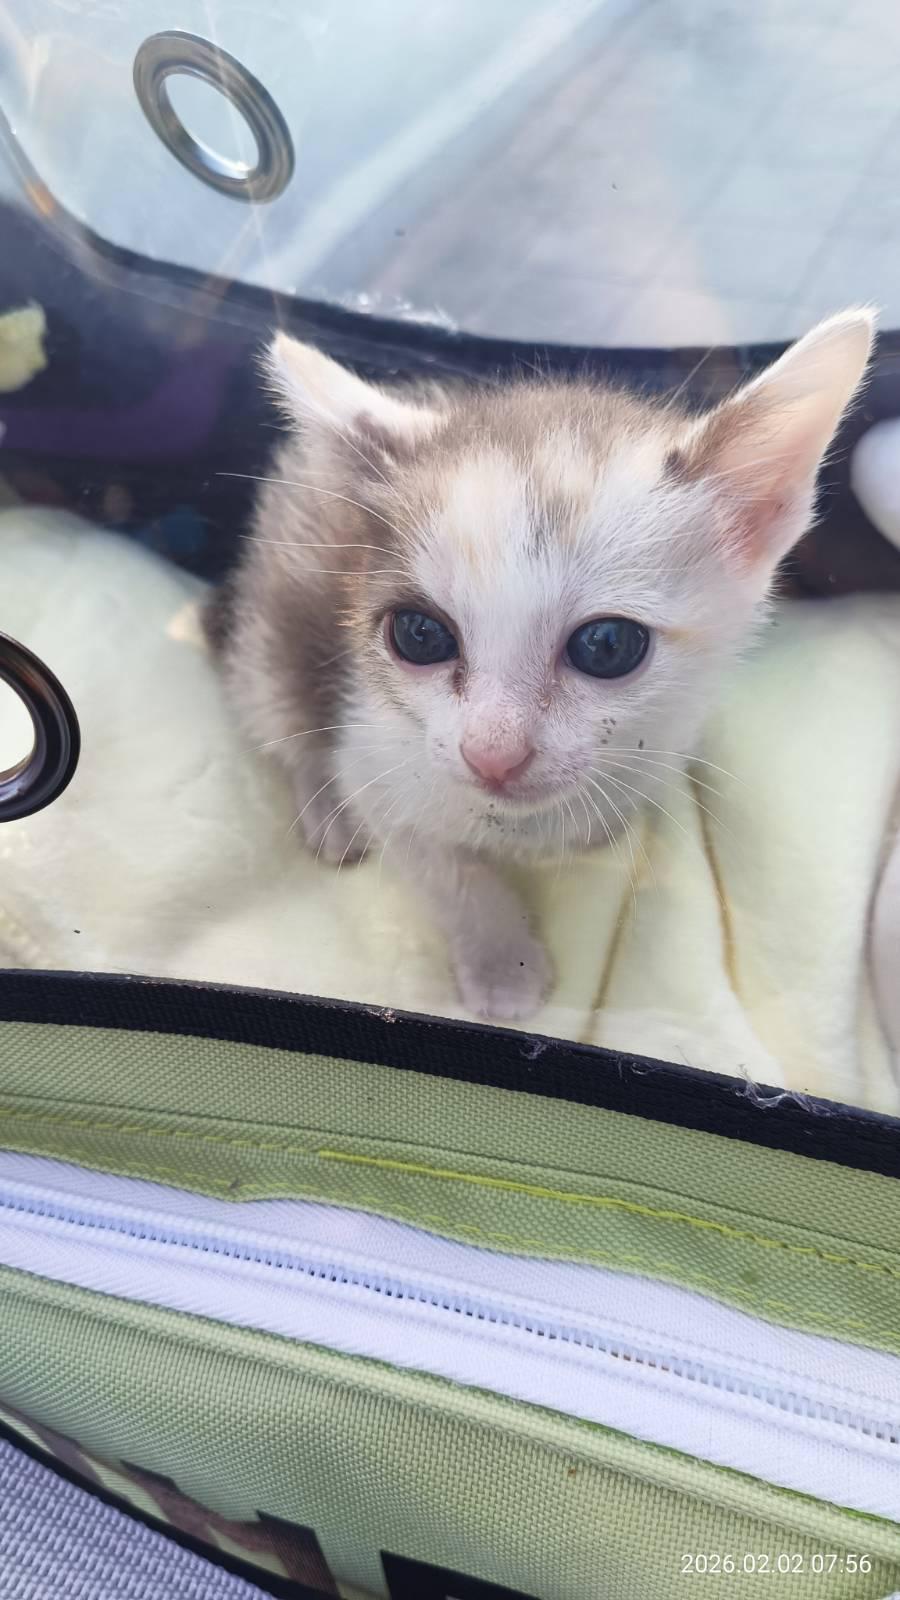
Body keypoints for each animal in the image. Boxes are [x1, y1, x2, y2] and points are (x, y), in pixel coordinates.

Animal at [209, 309, 874, 1021]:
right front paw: (503, 964)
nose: (492, 754)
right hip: (270, 635)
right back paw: (328, 812)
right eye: (419, 635)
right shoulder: (377, 754)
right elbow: (446, 871)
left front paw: (599, 827)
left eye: (606, 645)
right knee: (281, 713)